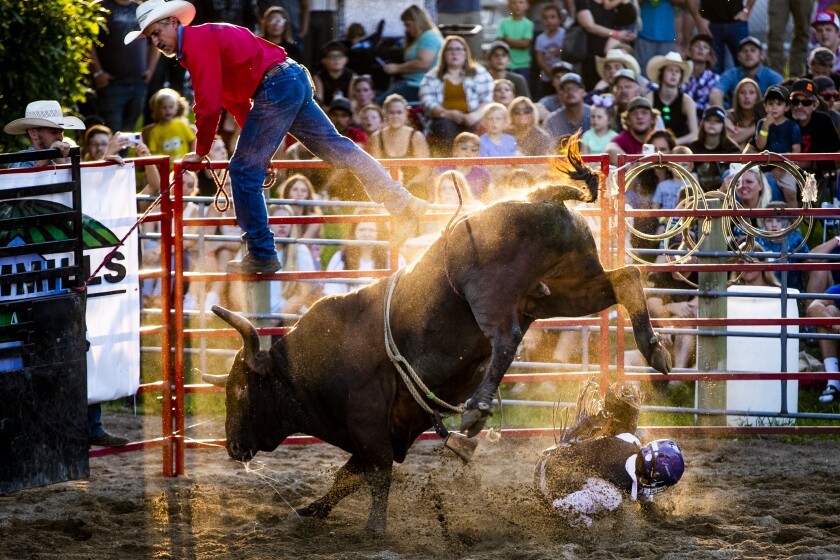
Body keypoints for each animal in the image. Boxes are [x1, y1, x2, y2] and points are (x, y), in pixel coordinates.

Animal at [204, 135, 671, 536]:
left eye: (240, 390)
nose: (232, 445)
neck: (307, 365)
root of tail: (541, 198)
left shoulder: (368, 424)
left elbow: (374, 476)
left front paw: (374, 528)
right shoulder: (386, 429)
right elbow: (348, 476)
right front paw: (311, 510)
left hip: (490, 294)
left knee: (506, 338)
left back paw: (477, 410)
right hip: (564, 292)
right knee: (626, 278)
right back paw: (655, 351)